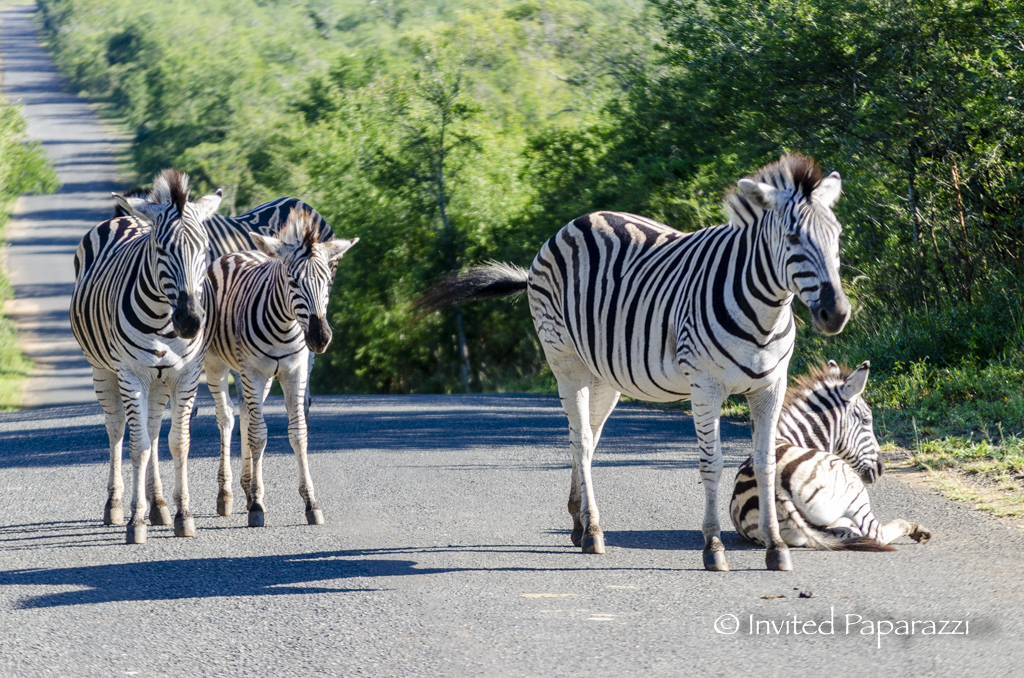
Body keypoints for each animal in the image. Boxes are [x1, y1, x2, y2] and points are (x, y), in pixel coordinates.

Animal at [70, 170, 222, 548]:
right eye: (162, 249)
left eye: (204, 250)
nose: (190, 321)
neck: (163, 320)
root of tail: (125, 216)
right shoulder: (132, 374)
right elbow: (136, 447)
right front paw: (134, 522)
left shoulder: (186, 375)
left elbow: (177, 443)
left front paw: (183, 516)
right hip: (102, 371)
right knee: (116, 428)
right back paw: (115, 506)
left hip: (160, 381)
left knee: (153, 432)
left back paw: (159, 506)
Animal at [201, 209, 358, 528]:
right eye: (292, 280)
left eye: (328, 282)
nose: (320, 337)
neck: (285, 327)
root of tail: (234, 253)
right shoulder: (254, 372)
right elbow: (259, 435)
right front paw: (258, 506)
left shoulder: (294, 372)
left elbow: (297, 433)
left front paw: (311, 503)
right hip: (218, 365)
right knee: (227, 419)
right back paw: (226, 496)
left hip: (252, 377)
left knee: (246, 415)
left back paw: (246, 487)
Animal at [419, 153, 851, 573]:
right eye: (793, 238)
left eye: (837, 235)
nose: (836, 313)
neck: (764, 312)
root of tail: (575, 223)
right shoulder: (705, 385)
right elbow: (711, 463)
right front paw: (713, 548)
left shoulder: (770, 386)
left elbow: (766, 463)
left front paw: (776, 548)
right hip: (565, 362)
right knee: (580, 440)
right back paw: (593, 532)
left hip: (604, 376)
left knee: (587, 438)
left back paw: (578, 522)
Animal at [729, 360, 937, 553]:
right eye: (866, 420)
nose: (881, 468)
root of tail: (777, 492)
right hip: (854, 490)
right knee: (875, 533)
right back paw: (916, 530)